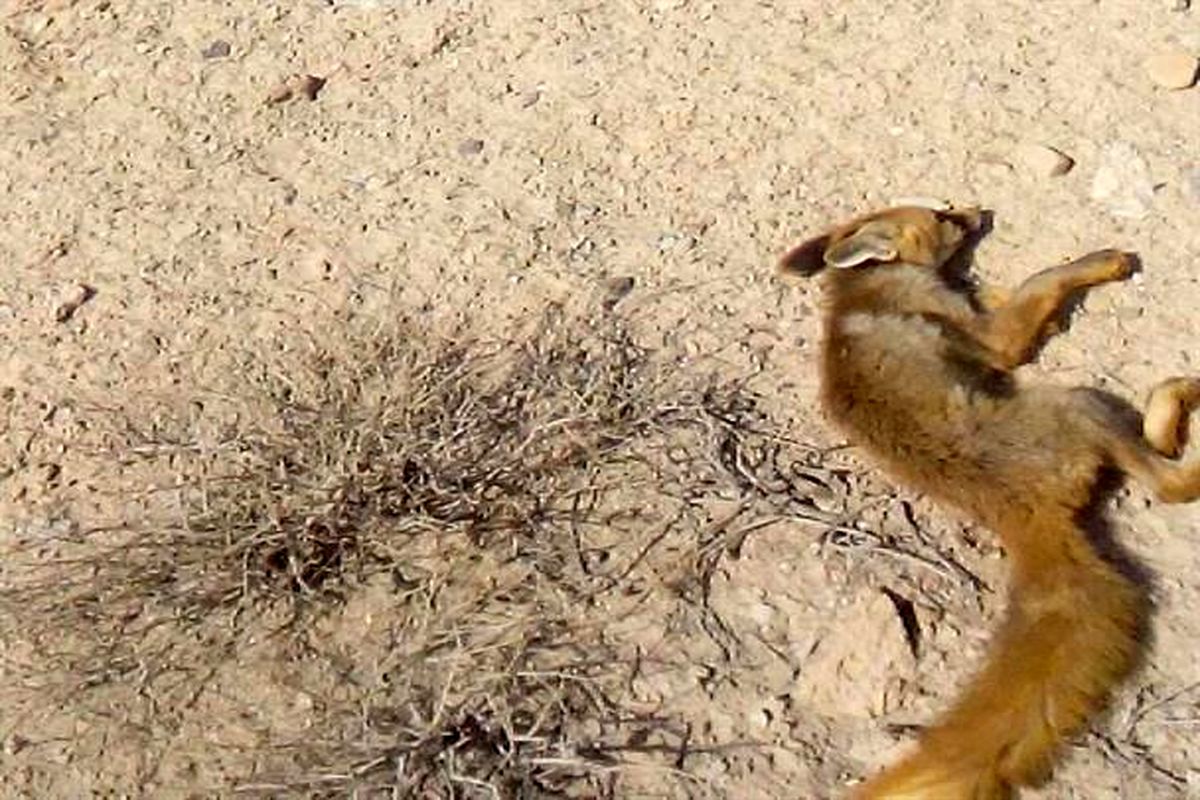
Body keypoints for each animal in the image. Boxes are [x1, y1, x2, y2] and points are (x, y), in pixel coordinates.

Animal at [777, 205, 1200, 800]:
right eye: (940, 216)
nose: (977, 211)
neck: (863, 288)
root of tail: (1018, 514)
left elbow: (1016, 291)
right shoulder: (990, 337)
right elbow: (1040, 283)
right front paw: (1098, 263)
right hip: (1083, 404)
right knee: (1171, 485)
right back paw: (1178, 397)